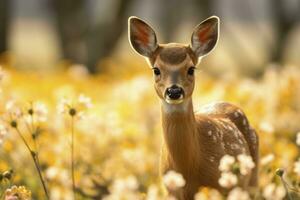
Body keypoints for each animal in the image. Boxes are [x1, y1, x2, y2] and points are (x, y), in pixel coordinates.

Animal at [127, 16, 258, 200]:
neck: (188, 170)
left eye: (191, 69)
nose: (174, 91)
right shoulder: (170, 190)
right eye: (156, 70)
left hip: (251, 178)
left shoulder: (218, 187)